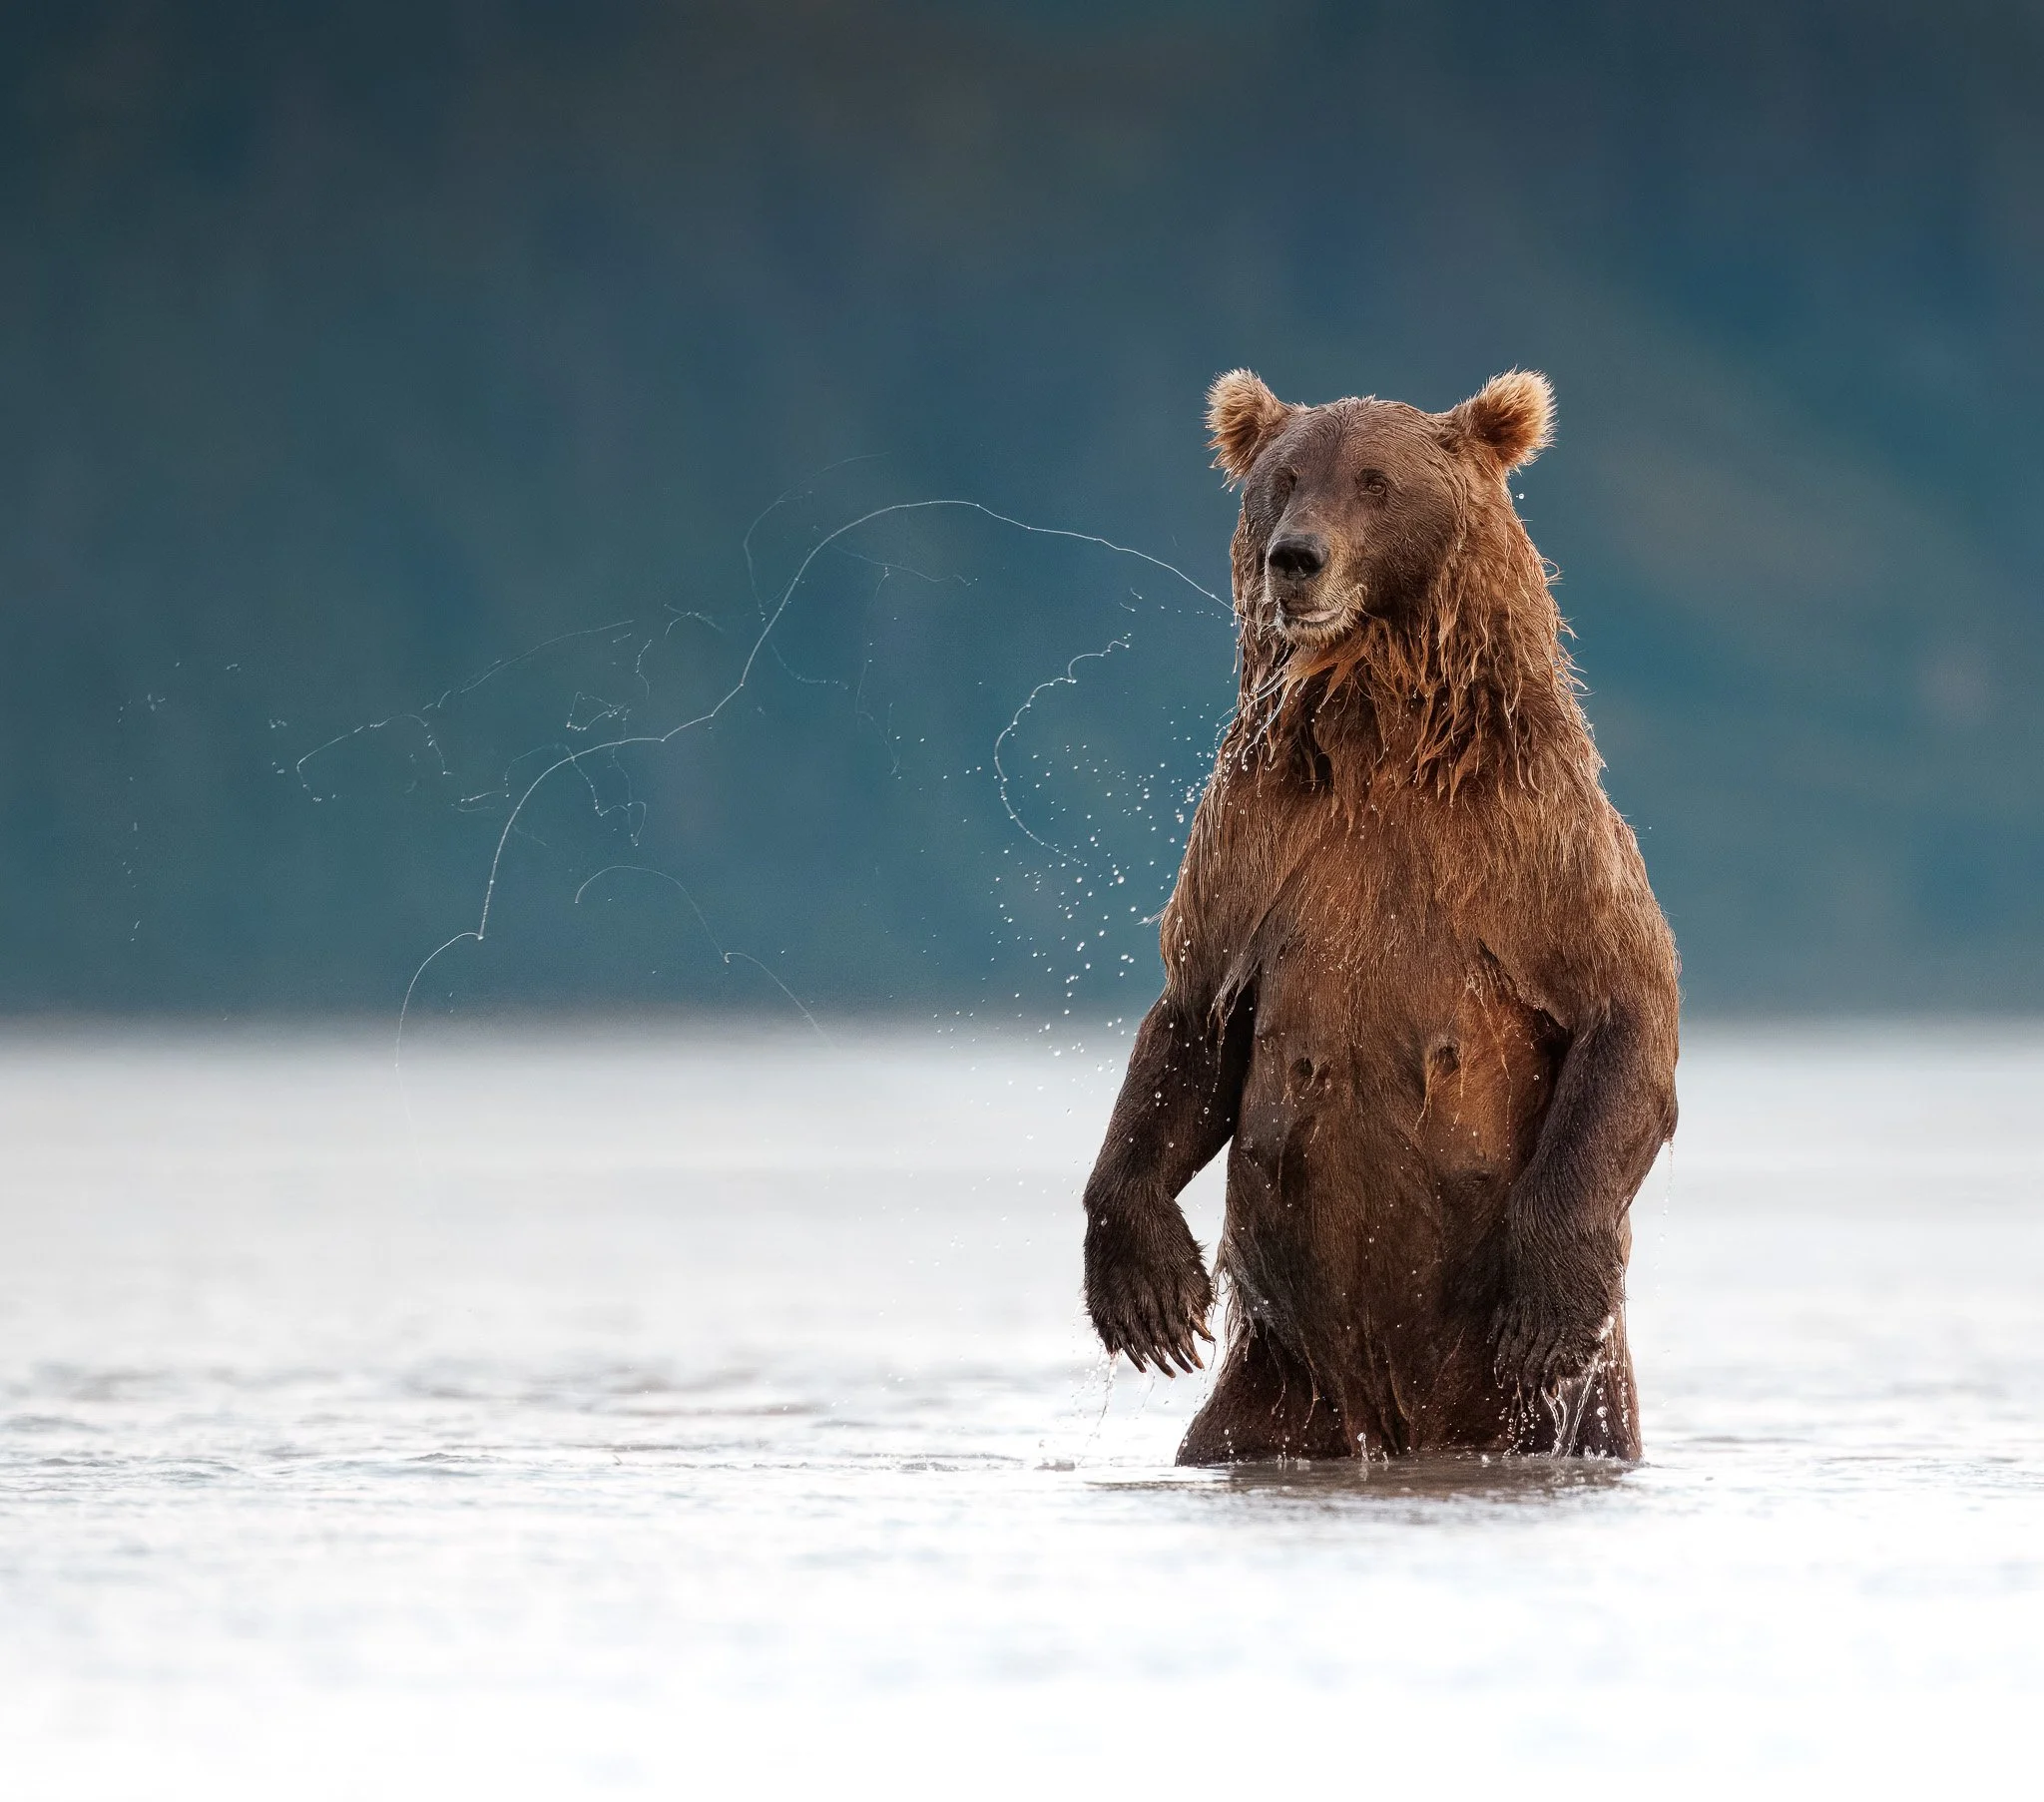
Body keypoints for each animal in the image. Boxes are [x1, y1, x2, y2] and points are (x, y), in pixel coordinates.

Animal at [1080, 369, 1679, 1462]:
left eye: (1374, 481)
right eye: (1282, 478)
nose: (1294, 558)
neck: (1379, 737)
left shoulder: (1542, 845)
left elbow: (1624, 1015)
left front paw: (1547, 1302)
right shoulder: (1250, 840)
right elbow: (1192, 1020)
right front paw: (1146, 1294)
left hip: (1559, 1418)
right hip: (1275, 1393)